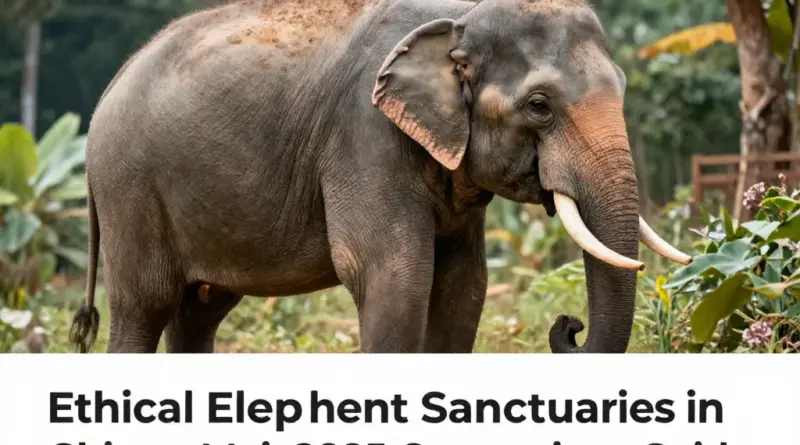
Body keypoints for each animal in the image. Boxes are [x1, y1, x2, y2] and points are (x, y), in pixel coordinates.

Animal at [69, 0, 692, 354]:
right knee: (144, 306)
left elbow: (464, 287)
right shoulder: (364, 136)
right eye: (539, 106)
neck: (461, 17)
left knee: (198, 311)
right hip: (130, 189)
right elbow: (394, 275)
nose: (569, 326)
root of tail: (105, 91)